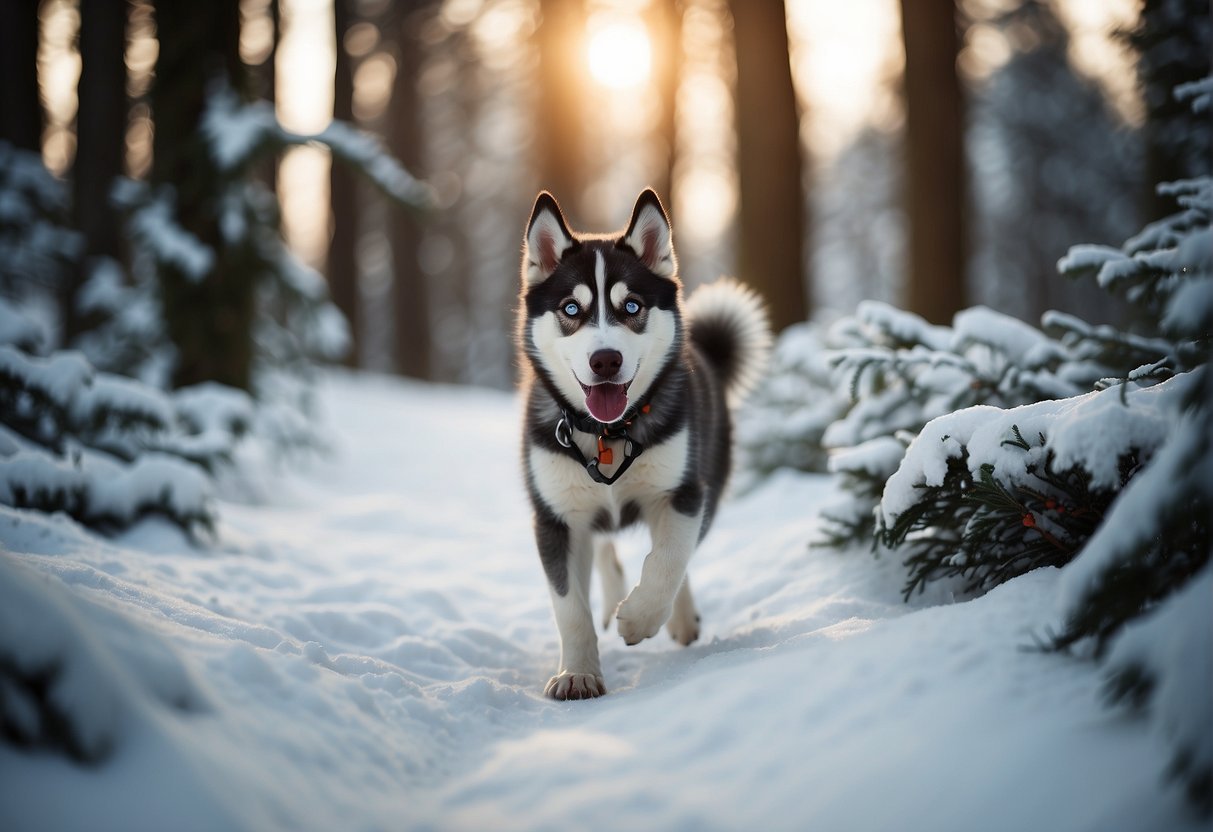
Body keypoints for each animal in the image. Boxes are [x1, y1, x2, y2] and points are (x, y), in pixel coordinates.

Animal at [519, 187, 766, 698]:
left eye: (631, 306)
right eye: (571, 309)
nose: (605, 360)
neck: (608, 433)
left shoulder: (683, 492)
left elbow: (669, 560)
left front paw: (639, 618)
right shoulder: (554, 516)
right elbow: (569, 606)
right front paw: (577, 674)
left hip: (708, 483)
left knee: (680, 550)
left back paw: (678, 618)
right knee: (603, 546)